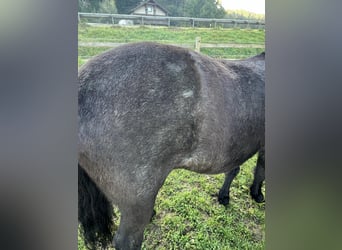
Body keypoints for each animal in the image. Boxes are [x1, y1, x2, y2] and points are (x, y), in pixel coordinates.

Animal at [78, 42, 264, 249]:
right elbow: (260, 170)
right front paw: (256, 194)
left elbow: (234, 169)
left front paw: (224, 196)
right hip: (137, 203)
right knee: (127, 241)